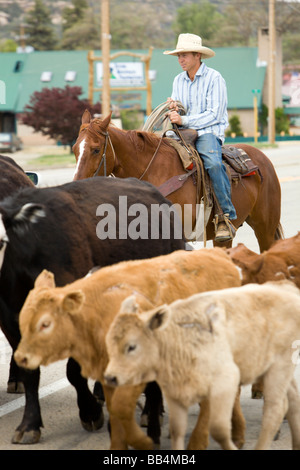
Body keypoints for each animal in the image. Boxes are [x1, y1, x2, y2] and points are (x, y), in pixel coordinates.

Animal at [0, 176, 185, 444]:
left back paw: (151, 412)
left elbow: (74, 372)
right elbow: (29, 374)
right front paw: (29, 424)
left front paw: (90, 412)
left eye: (1, 241)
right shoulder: (11, 322)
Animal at [14, 250, 244, 452]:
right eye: (22, 320)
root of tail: (219, 254)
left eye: (45, 323)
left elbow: (125, 406)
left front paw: (145, 440)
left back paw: (222, 437)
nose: (20, 357)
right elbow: (116, 408)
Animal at [72, 109, 284, 253]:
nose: (77, 184)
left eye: (96, 149)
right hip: (224, 238)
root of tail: (262, 158)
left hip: (265, 227)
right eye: (74, 149)